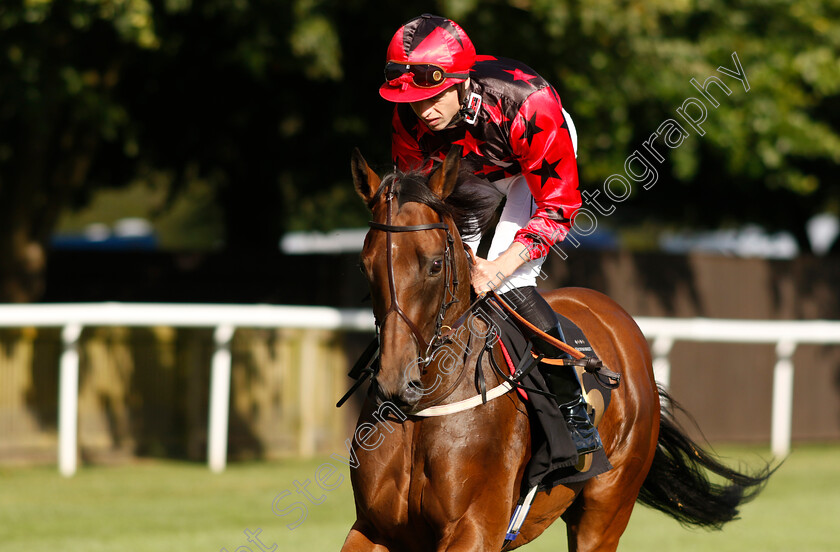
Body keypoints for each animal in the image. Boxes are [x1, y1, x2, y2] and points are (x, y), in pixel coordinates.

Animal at [340, 148, 768, 552]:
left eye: (433, 265)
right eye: (364, 265)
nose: (397, 381)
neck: (432, 400)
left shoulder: (475, 528)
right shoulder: (376, 528)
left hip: (606, 509)